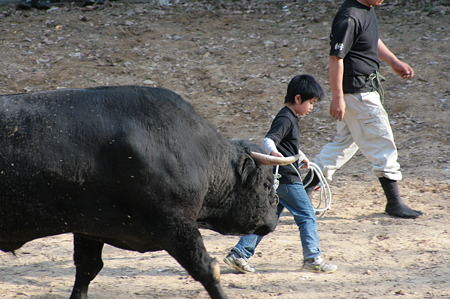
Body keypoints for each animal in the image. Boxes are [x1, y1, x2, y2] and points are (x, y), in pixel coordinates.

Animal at [0, 85, 298, 298]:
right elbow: (207, 269)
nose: (273, 213)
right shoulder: (174, 225)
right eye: (265, 183)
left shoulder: (90, 227)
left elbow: (86, 270)